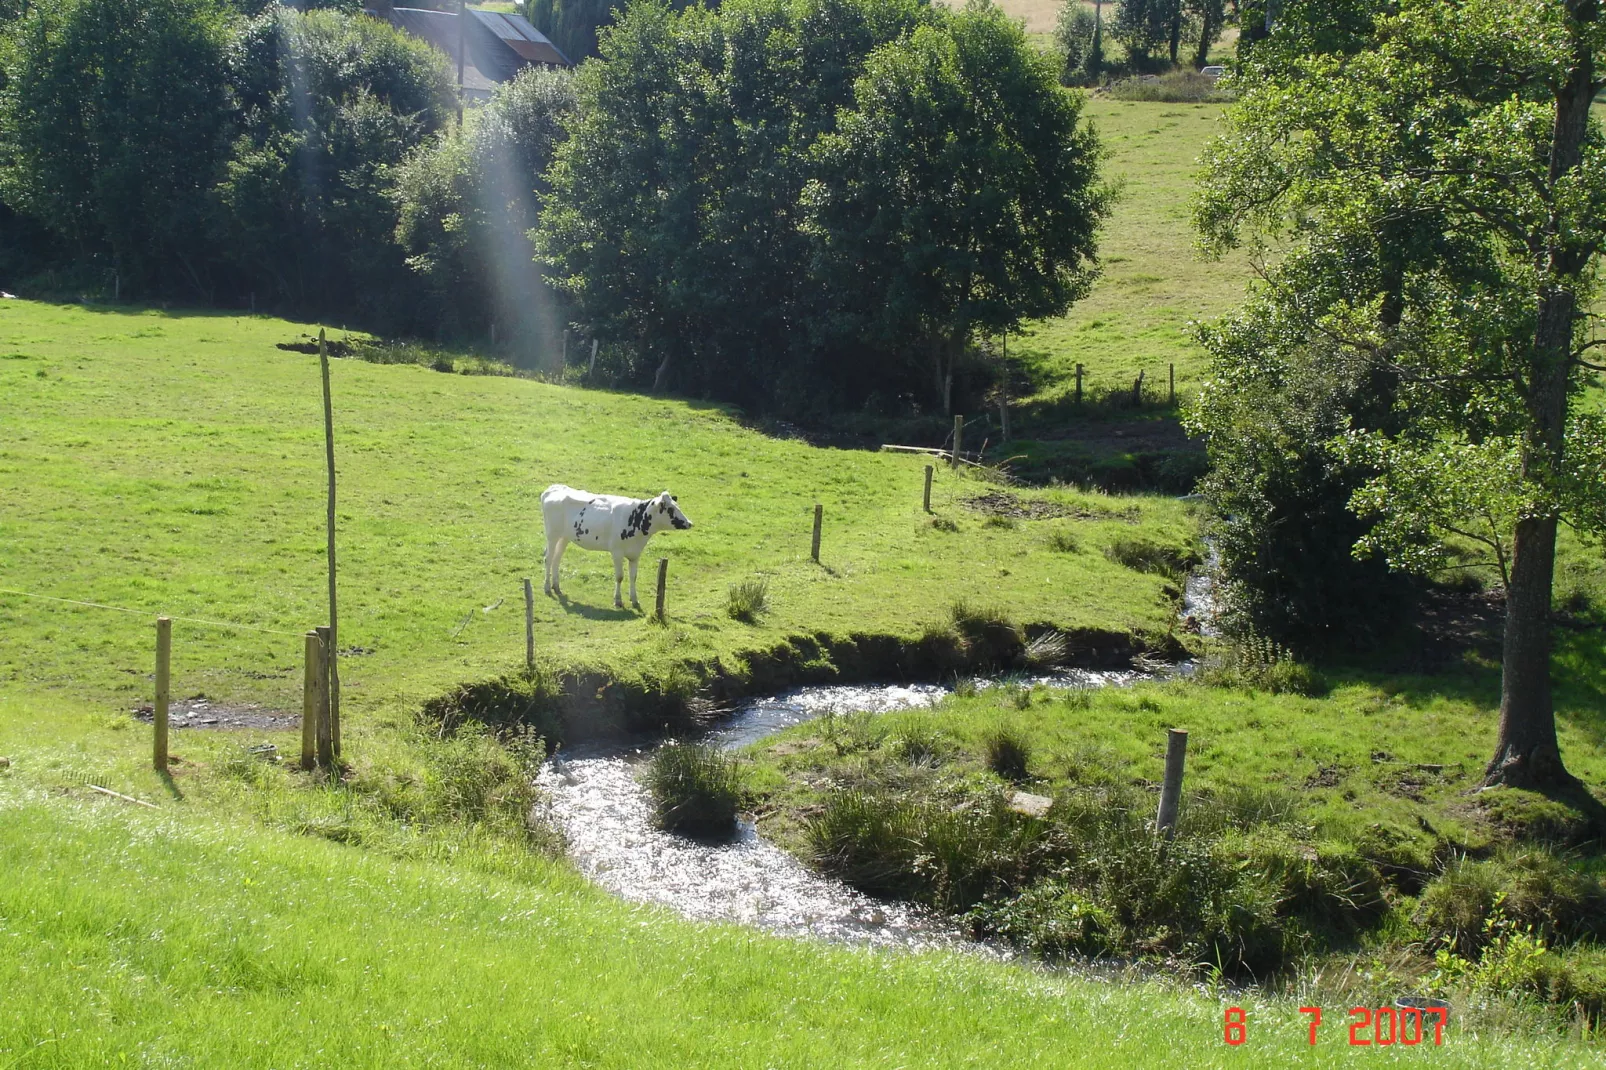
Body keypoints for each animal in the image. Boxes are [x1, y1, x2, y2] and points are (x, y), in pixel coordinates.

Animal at [542, 485, 693, 607]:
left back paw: (556, 587)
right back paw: (547, 588)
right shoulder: (617, 552)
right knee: (548, 559)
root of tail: (553, 488)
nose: (689, 523)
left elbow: (633, 576)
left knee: (556, 559)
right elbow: (619, 577)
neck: (636, 519)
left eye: (677, 506)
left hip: (564, 537)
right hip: (552, 535)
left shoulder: (635, 553)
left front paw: (635, 599)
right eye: (670, 509)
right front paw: (618, 600)